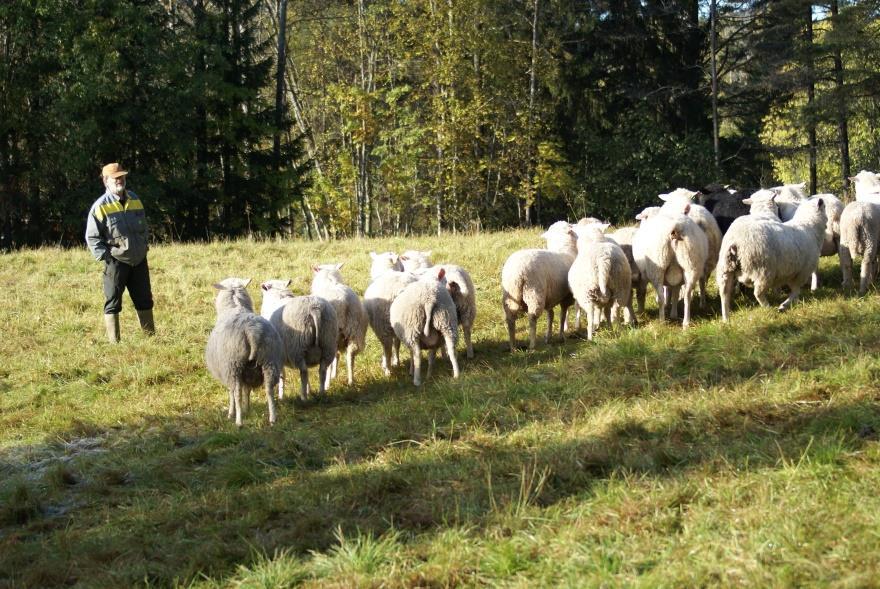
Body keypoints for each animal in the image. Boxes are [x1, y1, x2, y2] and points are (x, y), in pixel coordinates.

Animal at [205, 278, 280, 424]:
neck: (235, 307)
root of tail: (252, 332)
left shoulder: (228, 372)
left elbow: (232, 393)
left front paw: (232, 413)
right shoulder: (249, 373)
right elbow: (247, 390)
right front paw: (247, 408)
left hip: (233, 366)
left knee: (236, 393)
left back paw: (238, 421)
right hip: (269, 362)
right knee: (269, 390)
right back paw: (272, 419)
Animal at [502, 219, 576, 350]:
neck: (564, 249)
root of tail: (516, 272)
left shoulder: (549, 296)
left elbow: (551, 315)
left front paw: (548, 337)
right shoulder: (566, 297)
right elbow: (562, 316)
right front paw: (561, 337)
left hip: (511, 294)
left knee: (510, 318)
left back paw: (513, 346)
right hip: (534, 293)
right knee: (532, 318)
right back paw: (532, 345)